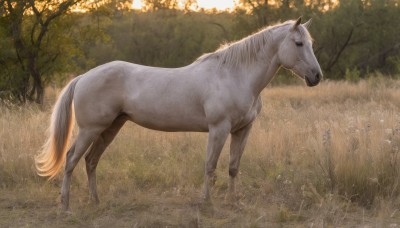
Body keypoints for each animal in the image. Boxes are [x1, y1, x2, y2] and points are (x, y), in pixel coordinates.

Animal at [34, 16, 322, 211]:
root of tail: (84, 77)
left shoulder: (242, 130)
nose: (316, 76)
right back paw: (66, 205)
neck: (235, 75)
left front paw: (232, 202)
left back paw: (96, 201)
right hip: (90, 129)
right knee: (71, 159)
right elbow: (210, 166)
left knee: (91, 161)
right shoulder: (219, 129)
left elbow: (233, 167)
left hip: (111, 128)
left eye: (310, 43)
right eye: (298, 43)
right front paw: (207, 203)